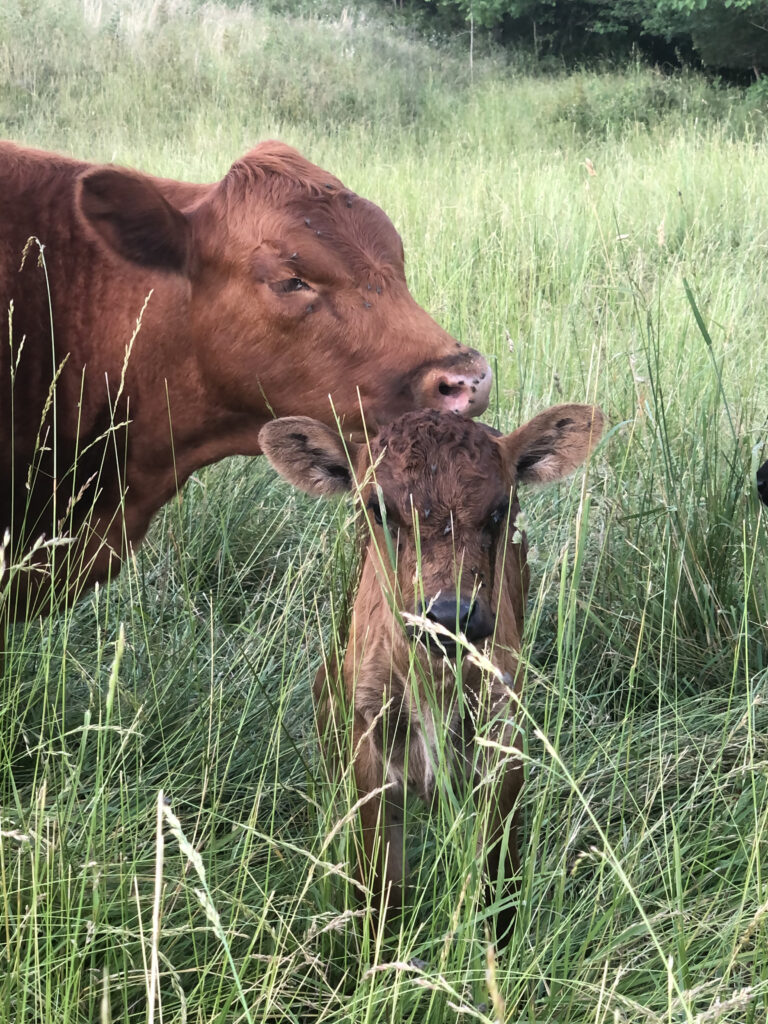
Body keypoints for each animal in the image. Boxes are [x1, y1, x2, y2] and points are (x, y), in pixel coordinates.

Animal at [262, 399, 606, 937]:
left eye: (501, 508)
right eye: (377, 507)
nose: (449, 615)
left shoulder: (503, 737)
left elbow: (497, 877)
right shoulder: (370, 752)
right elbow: (382, 889)